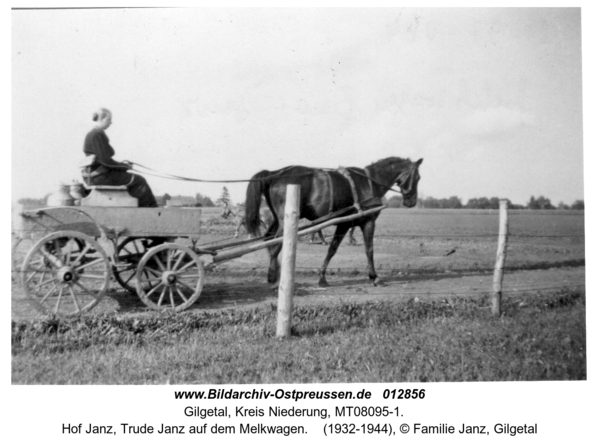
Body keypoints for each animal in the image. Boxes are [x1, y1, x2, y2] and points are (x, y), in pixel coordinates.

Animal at [244, 158, 422, 286]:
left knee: (268, 240)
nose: (412, 202)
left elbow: (332, 249)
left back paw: (275, 271)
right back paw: (273, 276)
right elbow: (367, 250)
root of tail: (276, 173)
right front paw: (374, 277)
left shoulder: (345, 225)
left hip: (277, 219)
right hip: (284, 222)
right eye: (418, 177)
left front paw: (322, 276)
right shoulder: (362, 223)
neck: (369, 183)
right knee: (275, 245)